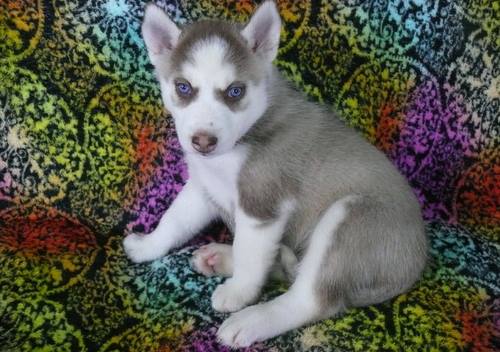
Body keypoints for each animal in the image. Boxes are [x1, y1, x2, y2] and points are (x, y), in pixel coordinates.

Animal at [124, 1, 426, 348]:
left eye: (235, 91)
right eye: (183, 87)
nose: (203, 141)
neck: (241, 140)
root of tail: (415, 266)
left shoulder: (261, 204)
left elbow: (250, 253)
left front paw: (239, 292)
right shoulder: (202, 186)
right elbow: (175, 219)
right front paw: (149, 245)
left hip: (350, 219)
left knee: (310, 298)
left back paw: (252, 318)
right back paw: (220, 258)